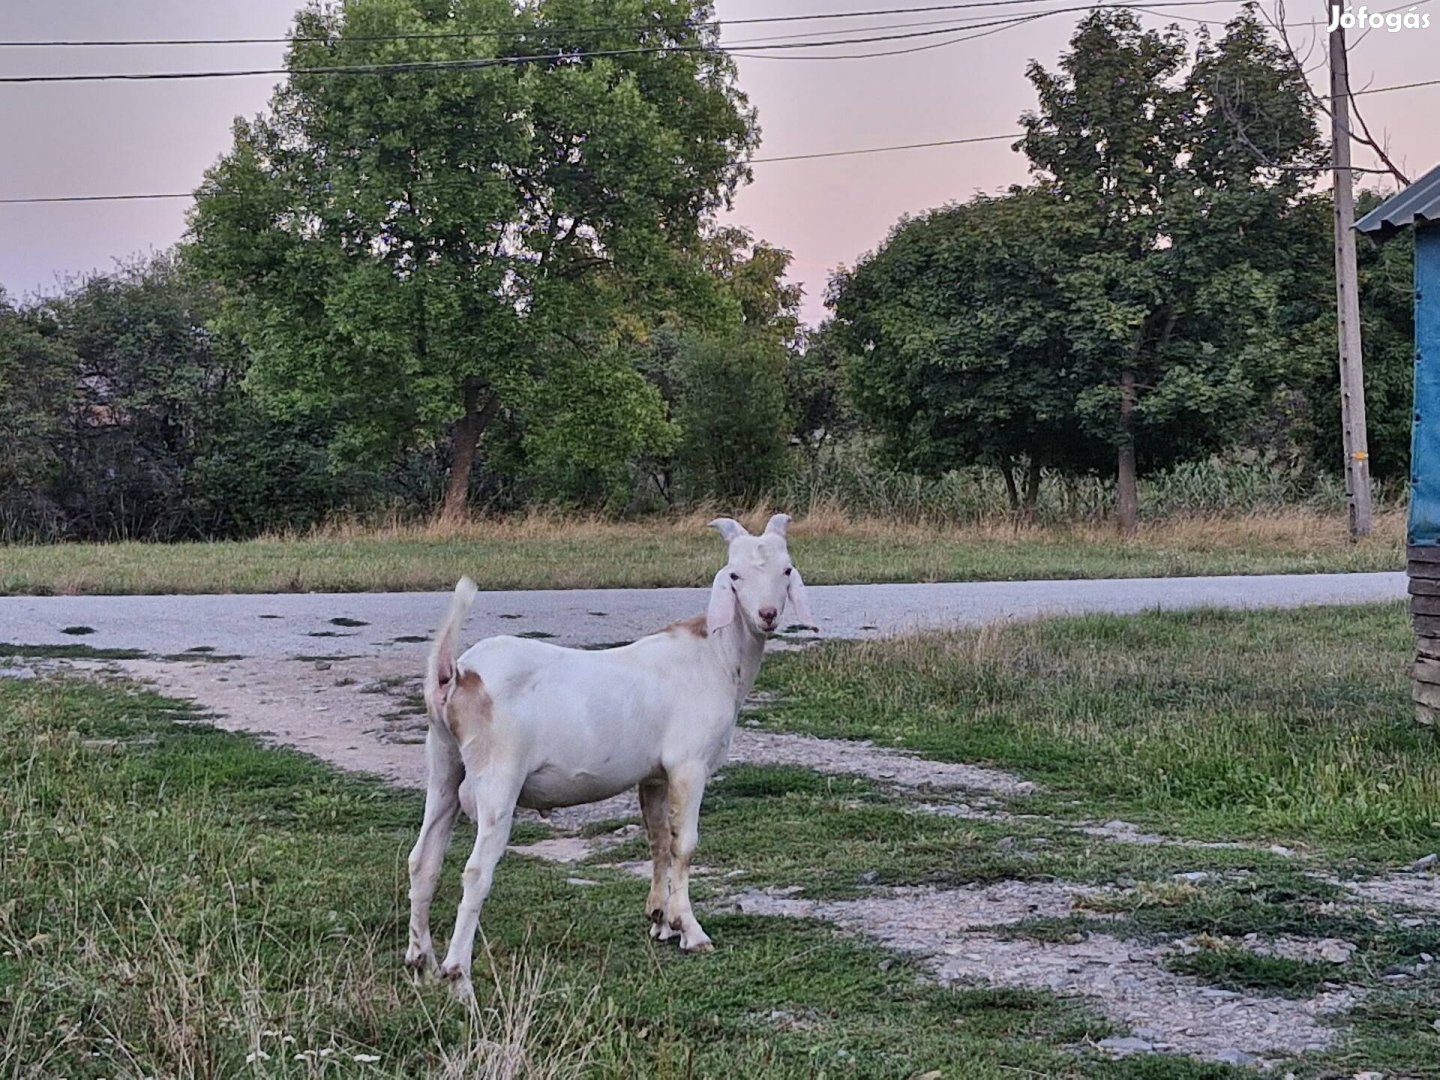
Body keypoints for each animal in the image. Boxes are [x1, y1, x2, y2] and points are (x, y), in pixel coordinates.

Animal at [406, 515, 817, 996]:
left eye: (786, 570)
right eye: (734, 576)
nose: (767, 615)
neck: (714, 657)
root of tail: (456, 675)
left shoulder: (655, 775)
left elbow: (659, 840)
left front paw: (661, 921)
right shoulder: (688, 765)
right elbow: (685, 845)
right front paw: (692, 932)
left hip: (444, 763)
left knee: (423, 860)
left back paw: (421, 964)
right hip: (497, 776)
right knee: (475, 871)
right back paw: (459, 978)